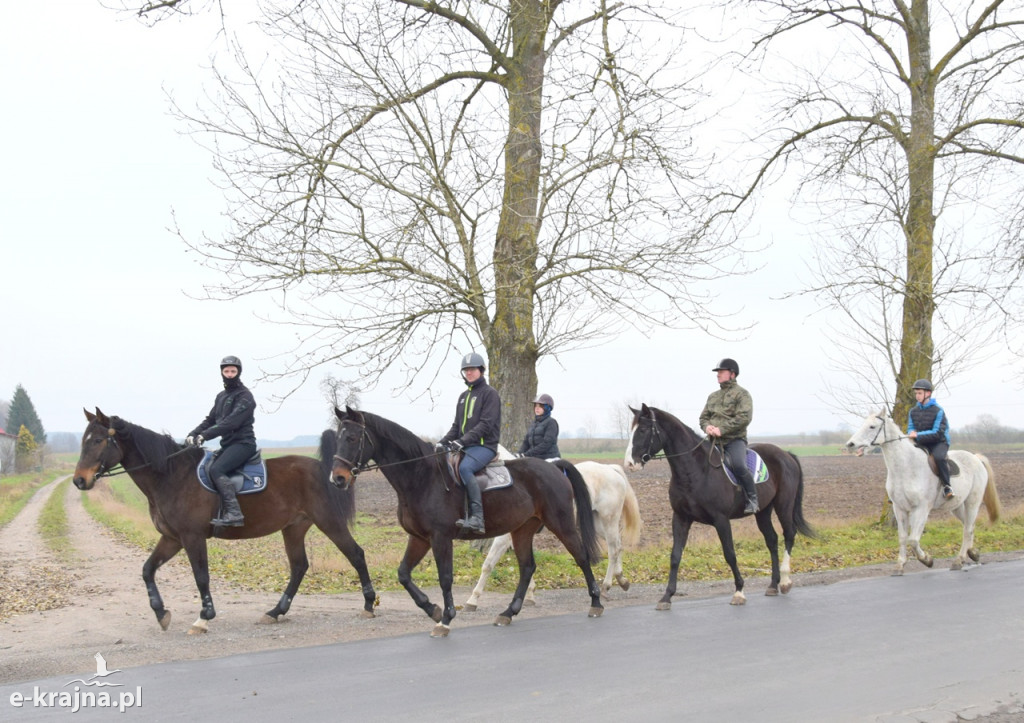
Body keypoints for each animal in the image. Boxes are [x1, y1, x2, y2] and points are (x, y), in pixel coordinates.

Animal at [72, 407, 378, 634]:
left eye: (98, 440)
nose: (79, 481)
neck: (171, 475)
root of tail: (326, 470)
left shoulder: (192, 537)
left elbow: (201, 576)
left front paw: (204, 617)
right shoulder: (172, 538)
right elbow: (148, 570)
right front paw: (161, 613)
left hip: (329, 521)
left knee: (356, 554)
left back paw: (369, 604)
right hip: (294, 528)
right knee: (299, 566)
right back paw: (275, 612)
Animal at [323, 405, 602, 634]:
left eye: (352, 438)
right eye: (337, 439)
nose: (337, 479)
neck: (421, 477)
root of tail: (553, 467)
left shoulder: (440, 537)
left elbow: (445, 577)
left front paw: (446, 619)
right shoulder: (419, 538)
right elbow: (403, 574)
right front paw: (432, 609)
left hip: (561, 523)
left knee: (581, 556)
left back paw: (596, 602)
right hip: (522, 529)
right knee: (527, 567)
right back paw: (508, 612)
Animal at [622, 403, 815, 606]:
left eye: (643, 430)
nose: (629, 463)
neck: (697, 470)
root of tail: (786, 454)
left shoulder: (721, 519)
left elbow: (729, 553)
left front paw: (739, 591)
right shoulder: (681, 518)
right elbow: (675, 555)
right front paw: (667, 596)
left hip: (784, 504)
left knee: (789, 534)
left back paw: (785, 581)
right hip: (763, 511)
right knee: (771, 539)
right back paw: (772, 585)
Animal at [843, 411, 1003, 573]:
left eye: (872, 426)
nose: (850, 445)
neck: (906, 467)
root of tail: (975, 457)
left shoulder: (921, 508)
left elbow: (913, 539)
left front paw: (927, 560)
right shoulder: (899, 508)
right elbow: (903, 537)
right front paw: (899, 565)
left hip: (972, 502)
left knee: (968, 529)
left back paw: (960, 560)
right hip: (957, 506)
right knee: (969, 526)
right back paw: (973, 553)